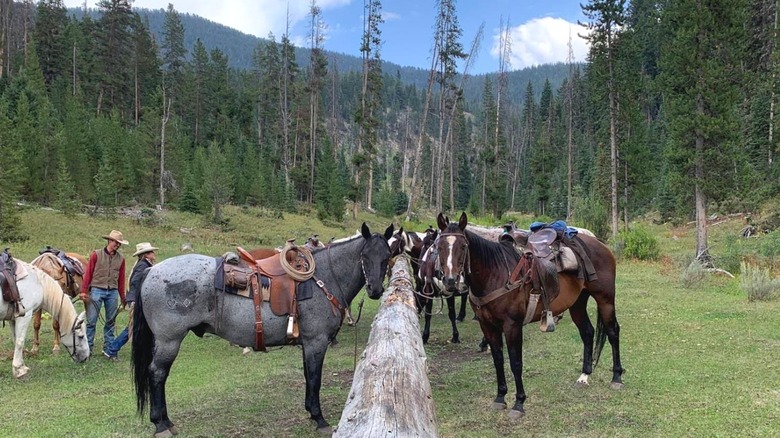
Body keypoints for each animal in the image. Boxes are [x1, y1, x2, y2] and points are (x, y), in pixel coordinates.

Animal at [132, 223, 394, 436]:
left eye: (387, 256)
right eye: (365, 255)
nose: (375, 290)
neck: (324, 277)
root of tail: (152, 271)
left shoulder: (308, 344)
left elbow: (308, 376)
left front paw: (310, 413)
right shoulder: (316, 342)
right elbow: (314, 378)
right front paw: (319, 418)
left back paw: (166, 421)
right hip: (169, 340)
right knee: (157, 374)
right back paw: (161, 424)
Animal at [434, 212, 623, 418]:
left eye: (463, 246)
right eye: (439, 246)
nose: (450, 281)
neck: (496, 273)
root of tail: (600, 244)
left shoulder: (512, 325)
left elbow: (516, 362)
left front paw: (519, 403)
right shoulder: (487, 325)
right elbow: (498, 360)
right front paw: (500, 397)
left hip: (605, 299)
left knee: (613, 332)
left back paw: (617, 377)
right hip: (577, 303)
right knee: (588, 333)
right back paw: (584, 376)